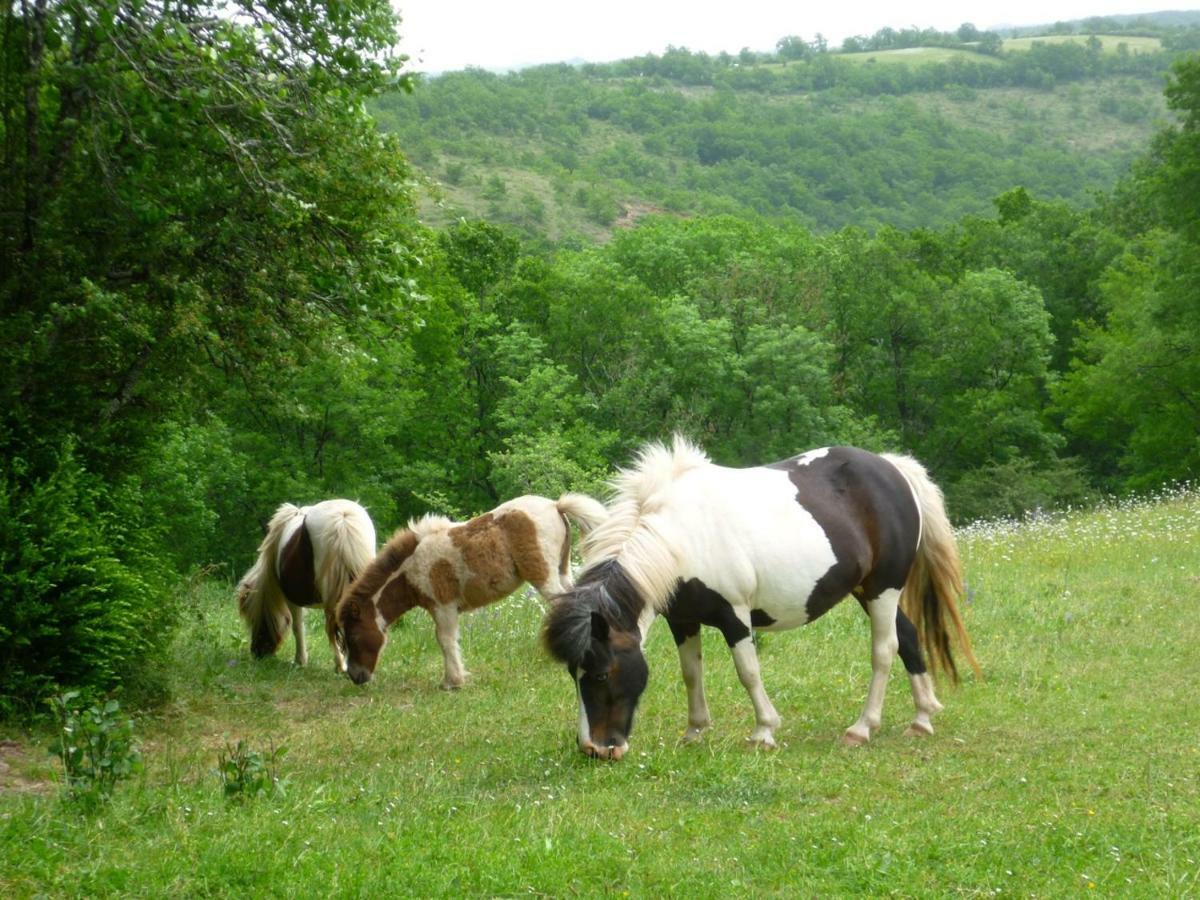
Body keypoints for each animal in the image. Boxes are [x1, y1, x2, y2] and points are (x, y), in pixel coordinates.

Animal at [237, 504, 376, 672]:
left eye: (251, 618)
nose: (257, 652)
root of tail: (342, 518)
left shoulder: (291, 599)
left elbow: (297, 627)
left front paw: (300, 661)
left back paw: (341, 666)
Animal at [338, 494, 609, 691]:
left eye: (353, 636)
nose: (355, 677)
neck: (412, 568)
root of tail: (555, 505)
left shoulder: (443, 606)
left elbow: (445, 640)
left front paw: (452, 682)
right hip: (562, 571)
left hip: (545, 578)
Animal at [547, 436, 984, 763]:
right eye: (572, 674)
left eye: (601, 674)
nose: (595, 749)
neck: (683, 536)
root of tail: (894, 469)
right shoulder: (682, 620)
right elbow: (692, 672)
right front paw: (695, 731)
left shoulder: (735, 616)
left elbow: (748, 672)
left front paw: (764, 731)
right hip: (869, 591)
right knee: (908, 638)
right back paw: (922, 718)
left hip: (883, 589)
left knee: (884, 650)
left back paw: (862, 728)